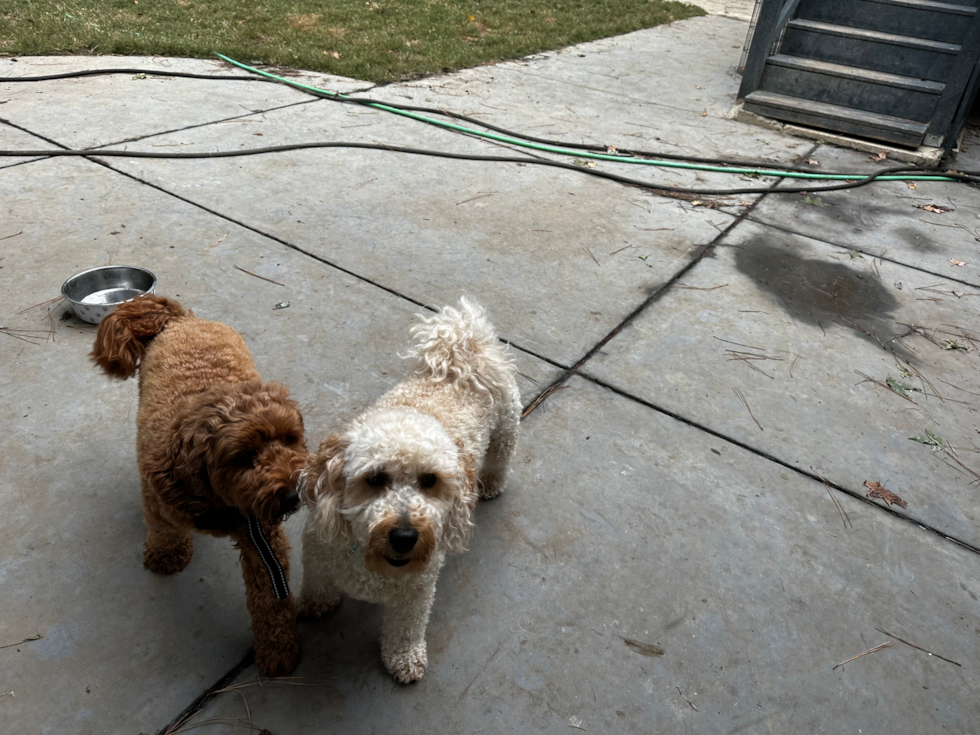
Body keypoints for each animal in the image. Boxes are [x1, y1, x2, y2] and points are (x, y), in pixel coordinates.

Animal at [93, 294, 306, 680]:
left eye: (290, 439)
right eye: (244, 456)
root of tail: (182, 319)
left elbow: (271, 599)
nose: (292, 495)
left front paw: (278, 648)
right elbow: (162, 528)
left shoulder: (262, 537)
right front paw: (166, 554)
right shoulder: (157, 498)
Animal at [298, 298, 520, 684]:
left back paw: (491, 483)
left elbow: (406, 629)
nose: (405, 536)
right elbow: (317, 583)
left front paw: (404, 659)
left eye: (429, 480)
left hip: (507, 428)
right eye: (374, 478)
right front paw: (317, 604)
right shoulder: (316, 551)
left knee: (500, 458)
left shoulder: (417, 591)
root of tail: (466, 347)